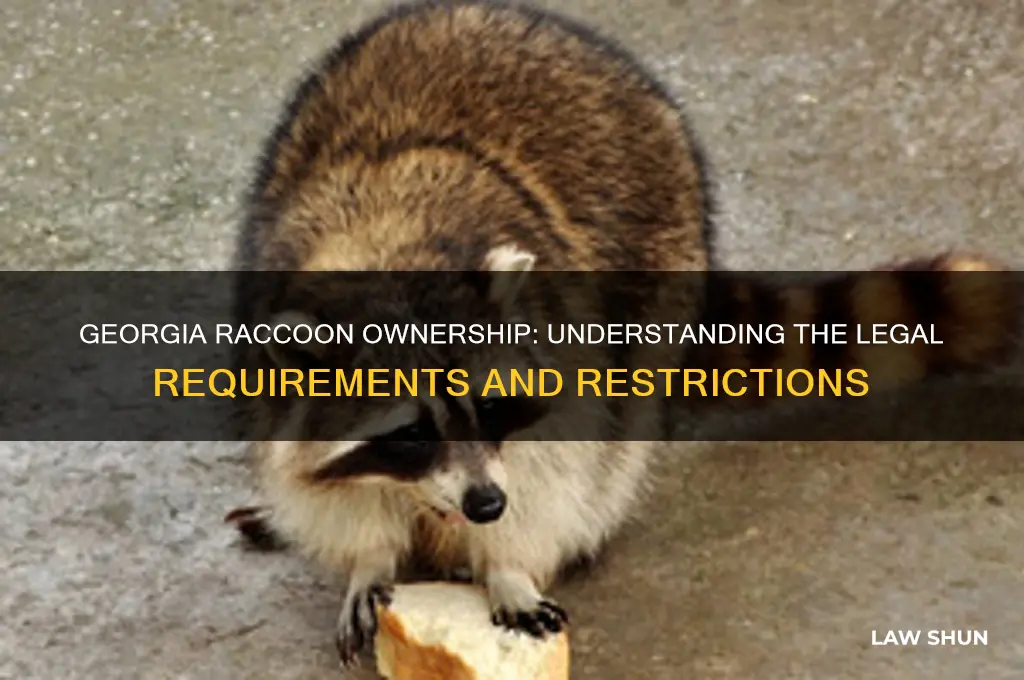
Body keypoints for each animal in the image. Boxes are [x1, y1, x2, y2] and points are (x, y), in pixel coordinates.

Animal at [227, 0, 1018, 668]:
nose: (486, 505)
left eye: (490, 405)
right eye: (413, 432)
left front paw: (507, 562)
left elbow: (557, 471)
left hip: (663, 272)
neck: (394, 251)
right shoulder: (276, 358)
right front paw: (367, 559)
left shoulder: (561, 345)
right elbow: (323, 485)